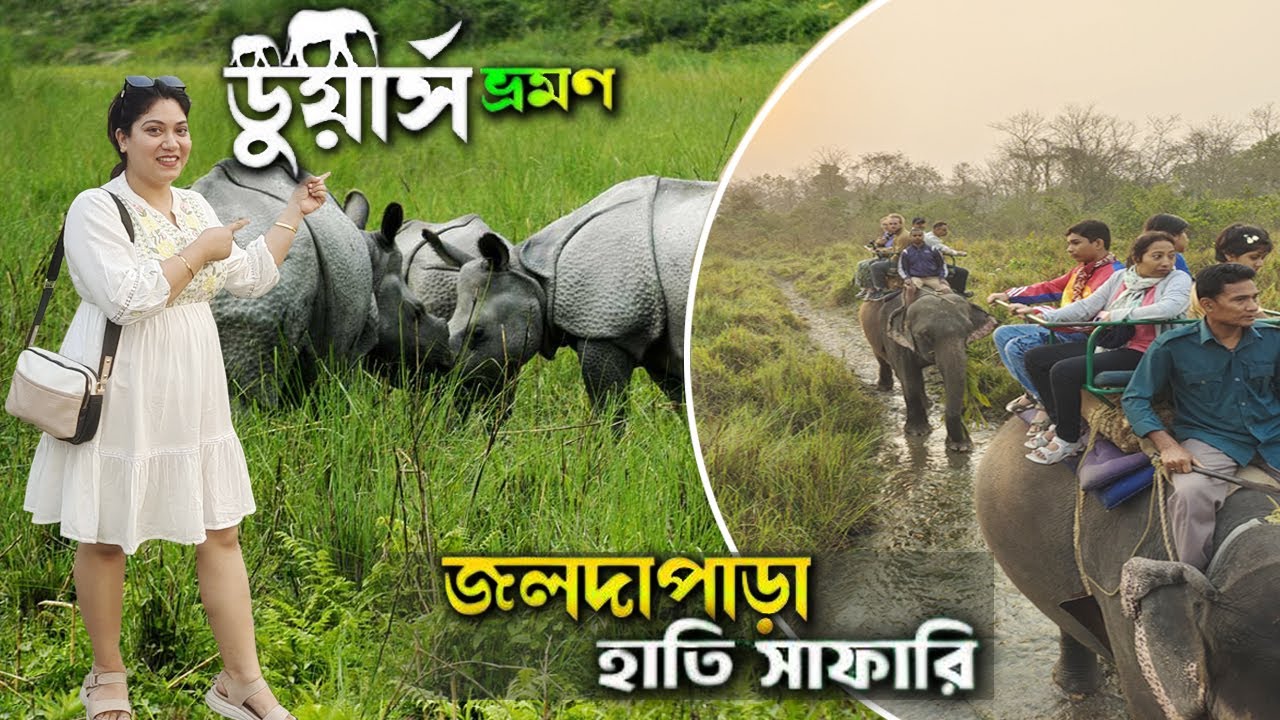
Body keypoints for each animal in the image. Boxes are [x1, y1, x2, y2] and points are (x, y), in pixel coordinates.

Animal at [446, 176, 714, 417]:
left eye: (478, 333)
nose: (455, 384)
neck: (536, 278)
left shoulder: (605, 330)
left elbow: (609, 407)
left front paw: (606, 441)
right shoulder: (662, 343)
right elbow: (681, 400)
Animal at [858, 291, 996, 451]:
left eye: (968, 330)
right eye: (925, 334)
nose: (959, 443)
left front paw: (962, 446)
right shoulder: (895, 339)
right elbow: (908, 378)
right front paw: (918, 432)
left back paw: (927, 403)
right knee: (881, 359)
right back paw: (884, 387)